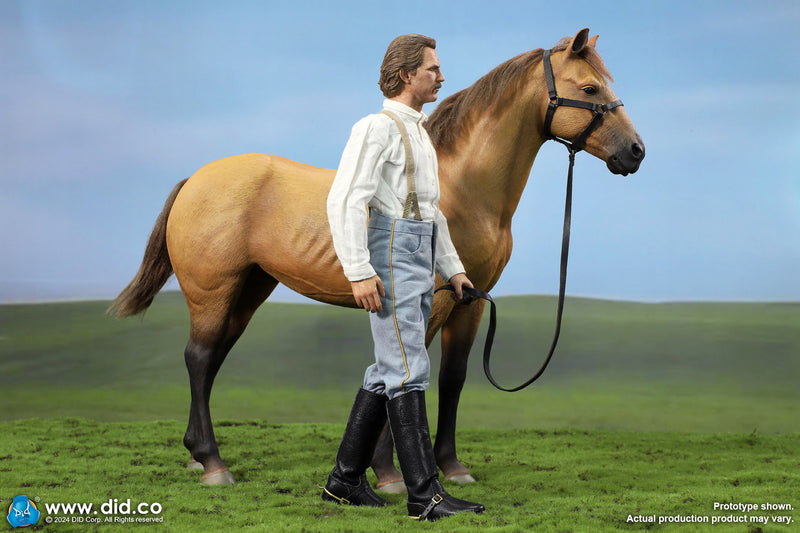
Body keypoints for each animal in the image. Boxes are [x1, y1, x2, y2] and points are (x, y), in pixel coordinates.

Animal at [109, 28, 644, 487]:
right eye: (590, 87)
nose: (636, 151)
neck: (463, 187)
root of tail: (195, 180)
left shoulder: (470, 300)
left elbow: (452, 379)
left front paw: (451, 466)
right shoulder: (431, 302)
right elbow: (408, 378)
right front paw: (389, 474)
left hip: (248, 292)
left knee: (212, 359)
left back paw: (195, 456)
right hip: (213, 292)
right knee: (199, 358)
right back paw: (214, 464)